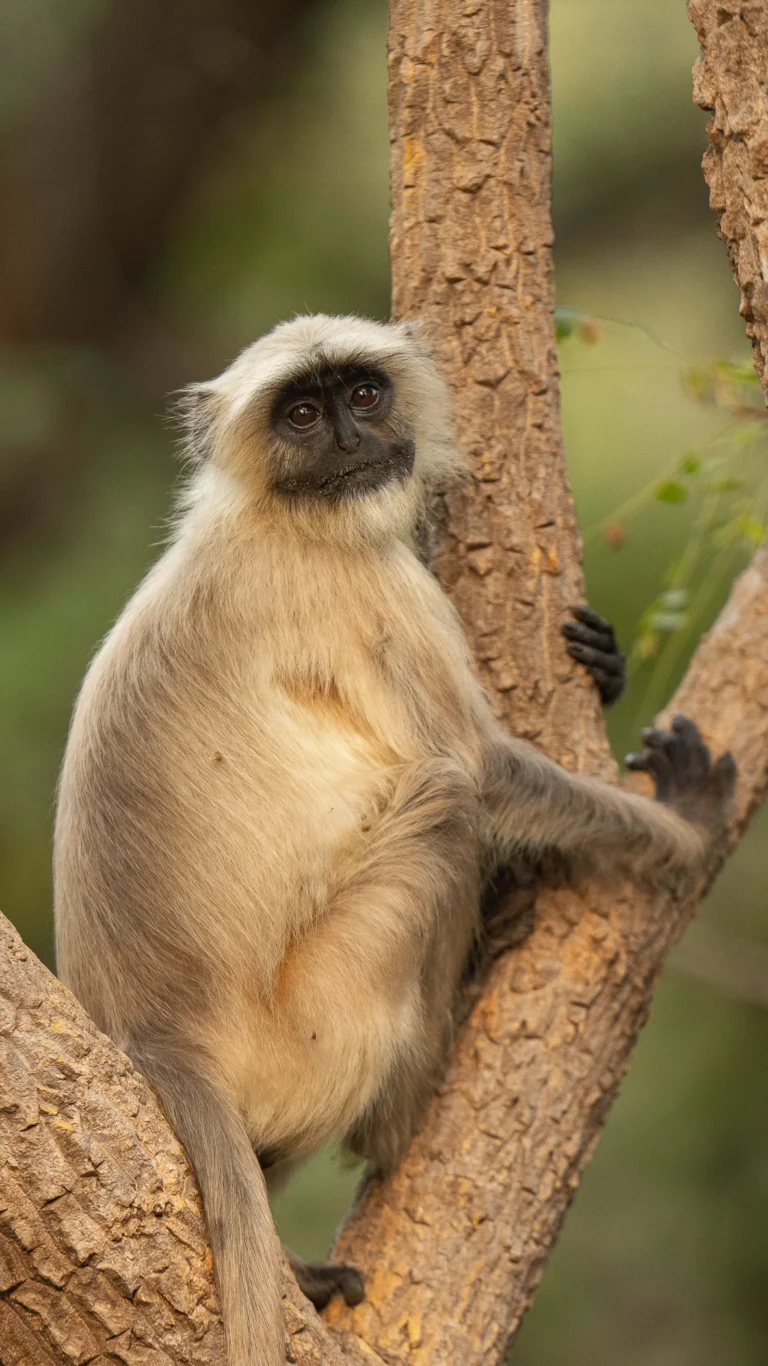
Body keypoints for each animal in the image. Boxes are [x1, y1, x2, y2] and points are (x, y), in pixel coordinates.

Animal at [53, 314, 734, 1366]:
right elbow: (485, 771)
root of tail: (157, 1038)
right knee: (447, 809)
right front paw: (693, 819)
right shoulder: (372, 588)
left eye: (363, 395)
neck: (275, 518)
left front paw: (609, 664)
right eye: (301, 413)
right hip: (313, 1024)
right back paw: (414, 1095)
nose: (347, 436)